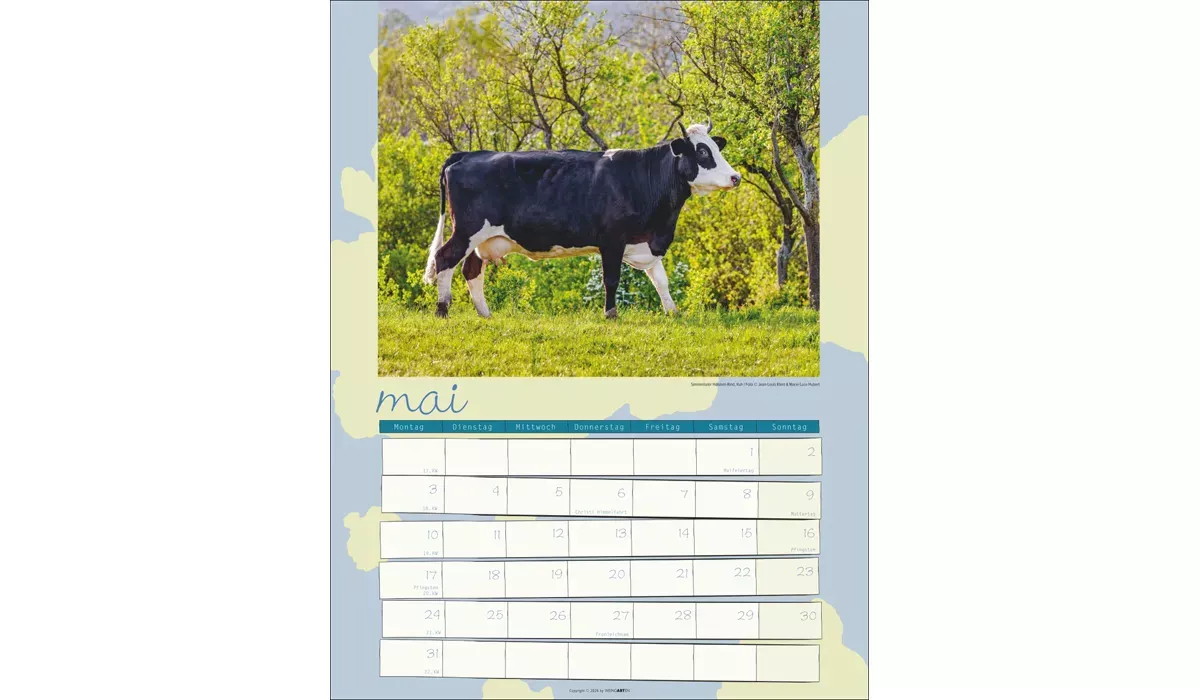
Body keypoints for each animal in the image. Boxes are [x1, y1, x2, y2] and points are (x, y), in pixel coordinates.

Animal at [421, 121, 741, 319]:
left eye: (716, 147)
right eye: (702, 152)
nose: (736, 177)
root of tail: (467, 154)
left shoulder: (646, 241)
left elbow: (661, 280)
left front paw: (672, 312)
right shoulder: (612, 240)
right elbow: (611, 279)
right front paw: (611, 314)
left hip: (485, 239)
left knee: (471, 269)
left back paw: (485, 314)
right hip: (466, 230)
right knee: (444, 258)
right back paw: (442, 309)